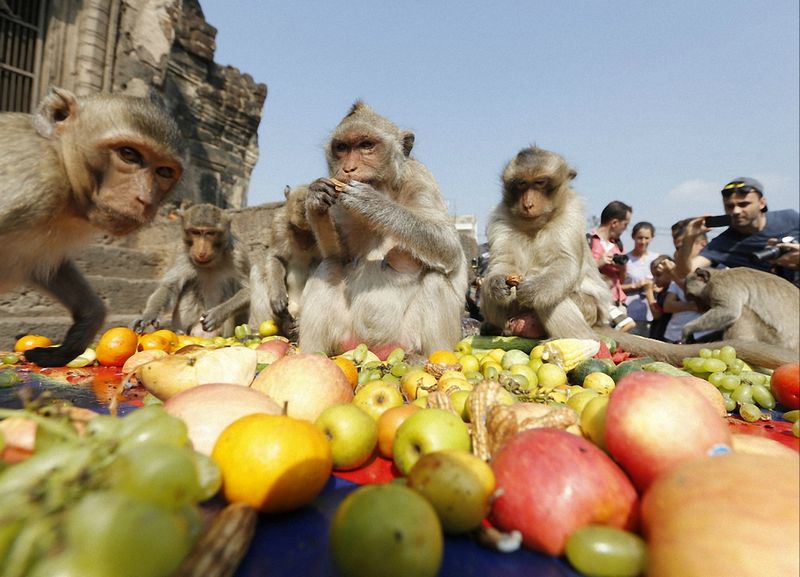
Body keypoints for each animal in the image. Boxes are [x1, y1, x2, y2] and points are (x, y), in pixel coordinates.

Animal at [0, 88, 184, 366]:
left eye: (164, 171)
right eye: (129, 154)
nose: (145, 200)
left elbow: (46, 266)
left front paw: (85, 324)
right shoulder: (33, 183)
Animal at [253, 183, 322, 338]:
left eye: (310, 233)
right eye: (296, 229)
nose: (304, 245)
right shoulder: (278, 225)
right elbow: (275, 257)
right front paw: (277, 298)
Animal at [296, 101, 466, 358]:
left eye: (366, 145)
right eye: (342, 147)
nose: (349, 168)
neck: (386, 188)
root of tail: (375, 349)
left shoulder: (420, 178)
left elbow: (448, 247)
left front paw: (371, 202)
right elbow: (340, 256)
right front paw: (315, 198)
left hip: (405, 337)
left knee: (435, 278)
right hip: (345, 338)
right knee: (328, 266)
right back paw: (311, 356)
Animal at [478, 146, 608, 340]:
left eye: (539, 182)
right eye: (521, 184)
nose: (528, 204)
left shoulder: (570, 214)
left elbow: (565, 262)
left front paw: (534, 289)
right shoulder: (500, 218)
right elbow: (502, 262)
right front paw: (497, 285)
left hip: (589, 309)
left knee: (549, 290)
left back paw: (580, 338)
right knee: (486, 287)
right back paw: (498, 328)